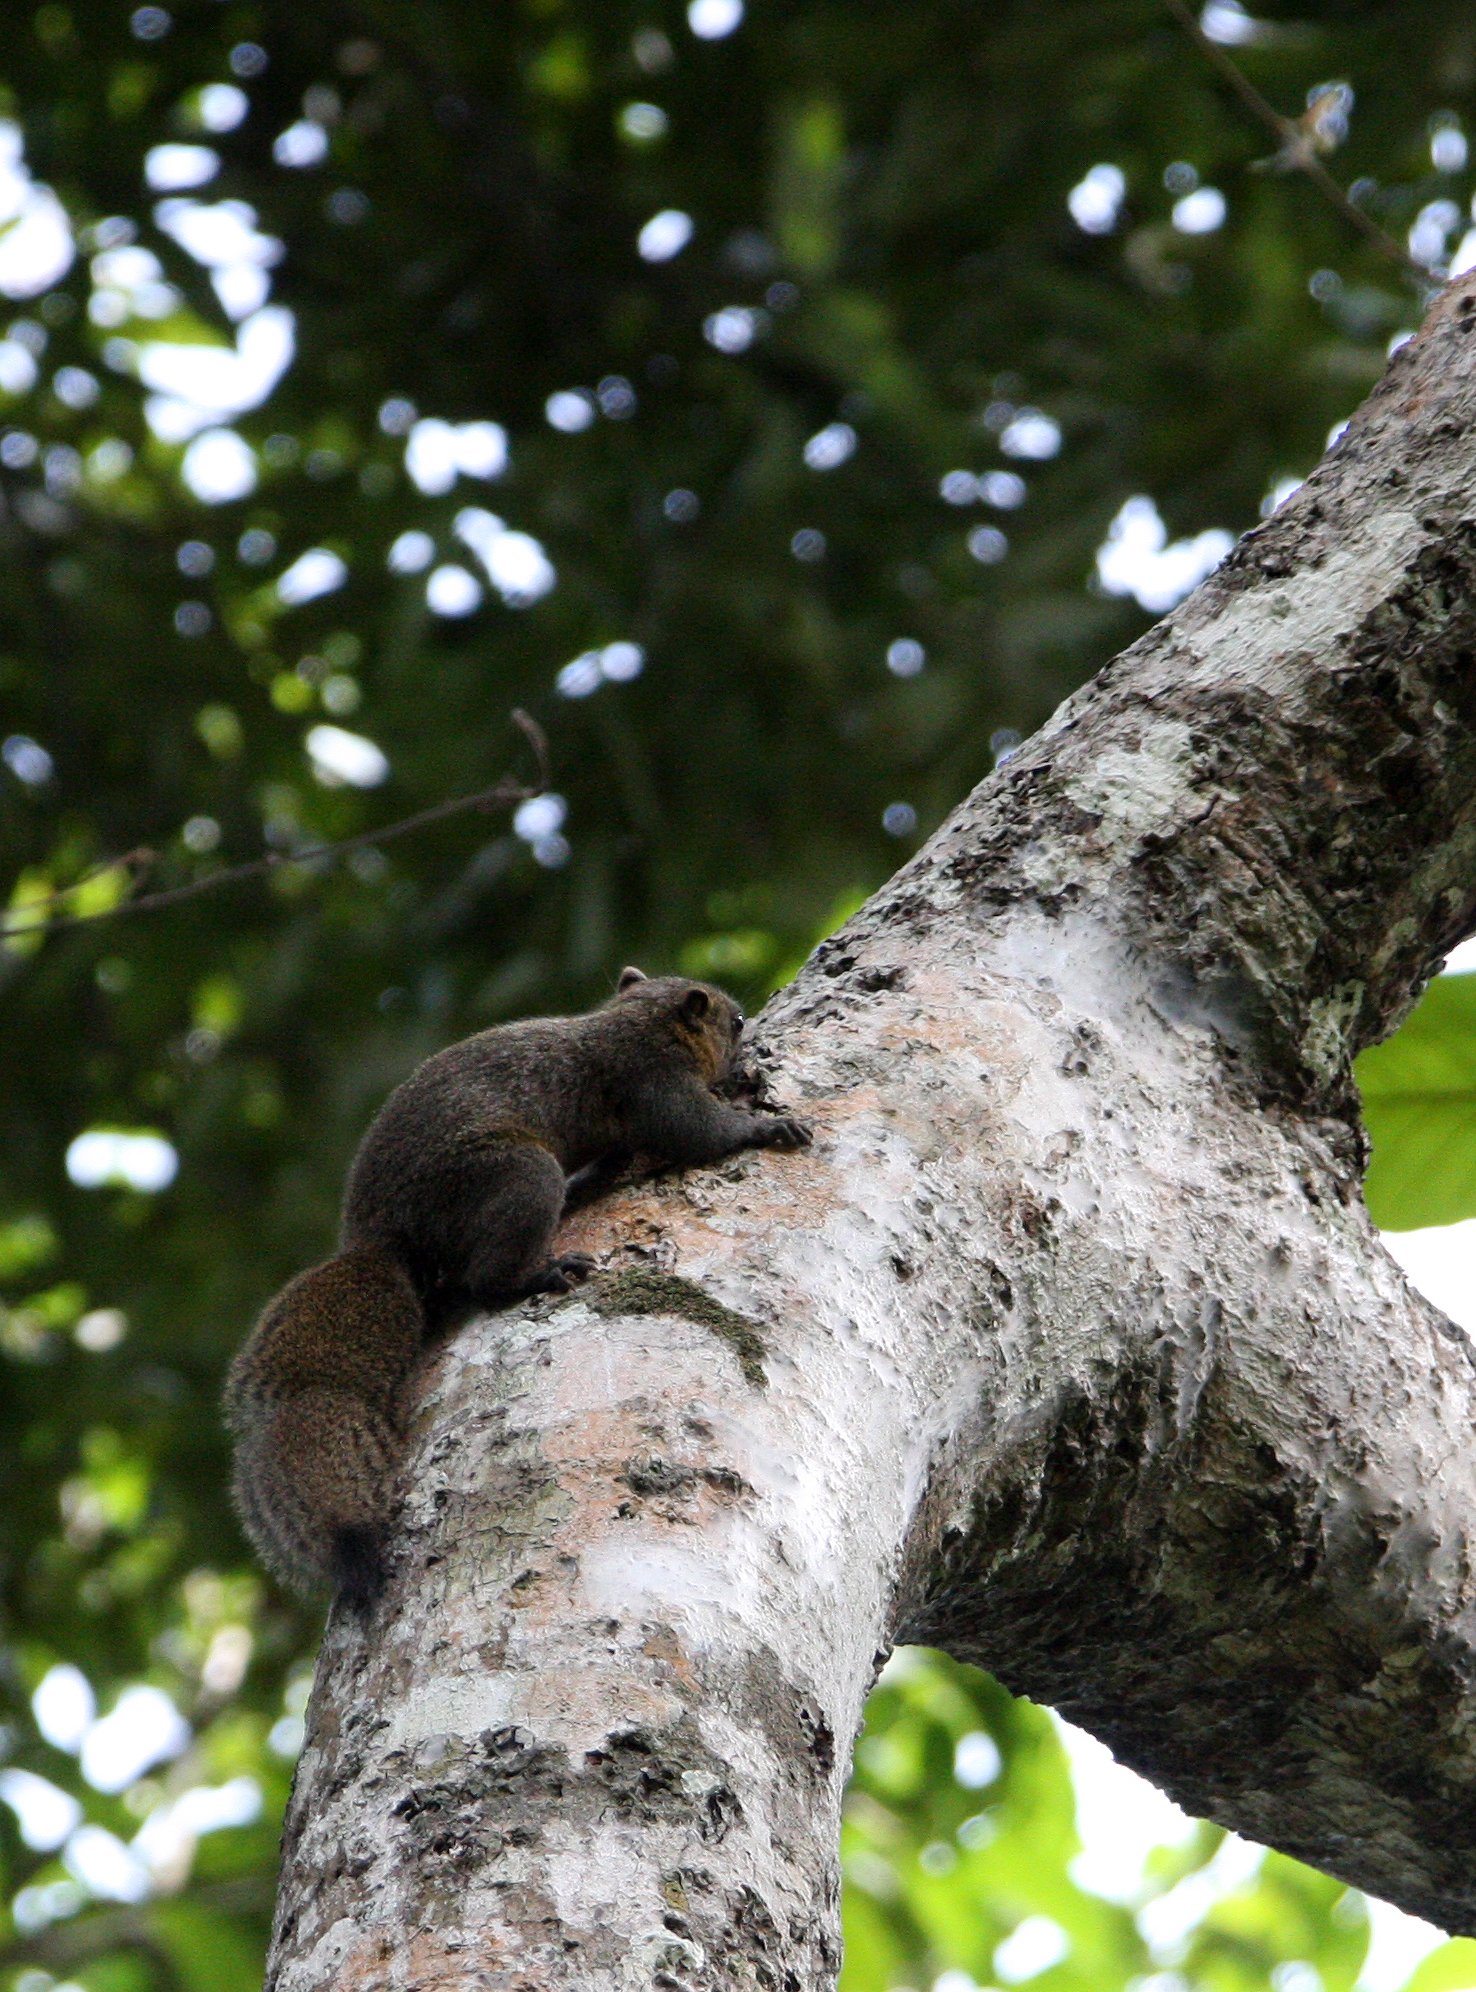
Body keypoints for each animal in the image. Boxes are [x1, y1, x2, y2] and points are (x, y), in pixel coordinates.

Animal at [223, 968, 810, 1606]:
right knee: (483, 1278)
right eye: (736, 1022)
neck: (636, 1020)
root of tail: (380, 1242)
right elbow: (696, 1132)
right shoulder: (653, 1080)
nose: (746, 1058)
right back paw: (539, 1272)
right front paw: (765, 1126)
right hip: (512, 1175)